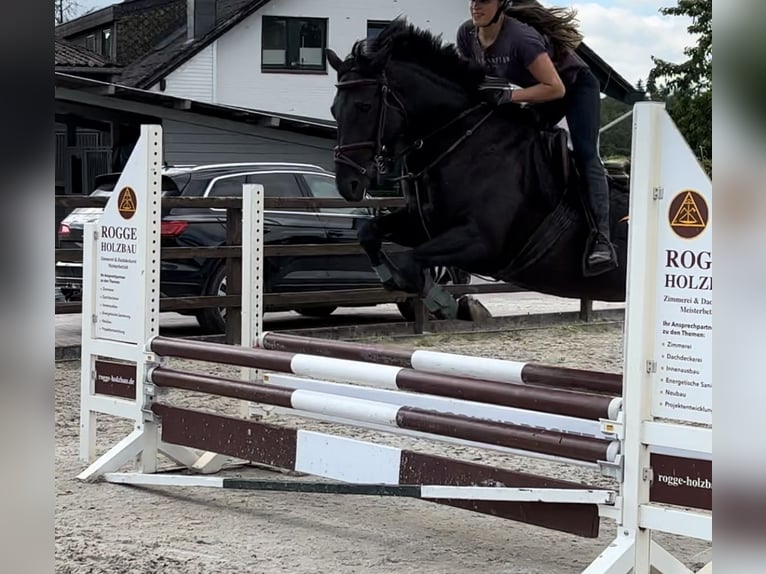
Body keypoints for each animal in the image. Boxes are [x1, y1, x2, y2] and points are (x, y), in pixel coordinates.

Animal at [324, 18, 632, 322]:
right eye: (333, 110)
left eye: (364, 106)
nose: (348, 184)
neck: (460, 139)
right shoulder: (421, 225)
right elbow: (369, 233)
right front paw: (397, 281)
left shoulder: (481, 241)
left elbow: (412, 265)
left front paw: (447, 304)